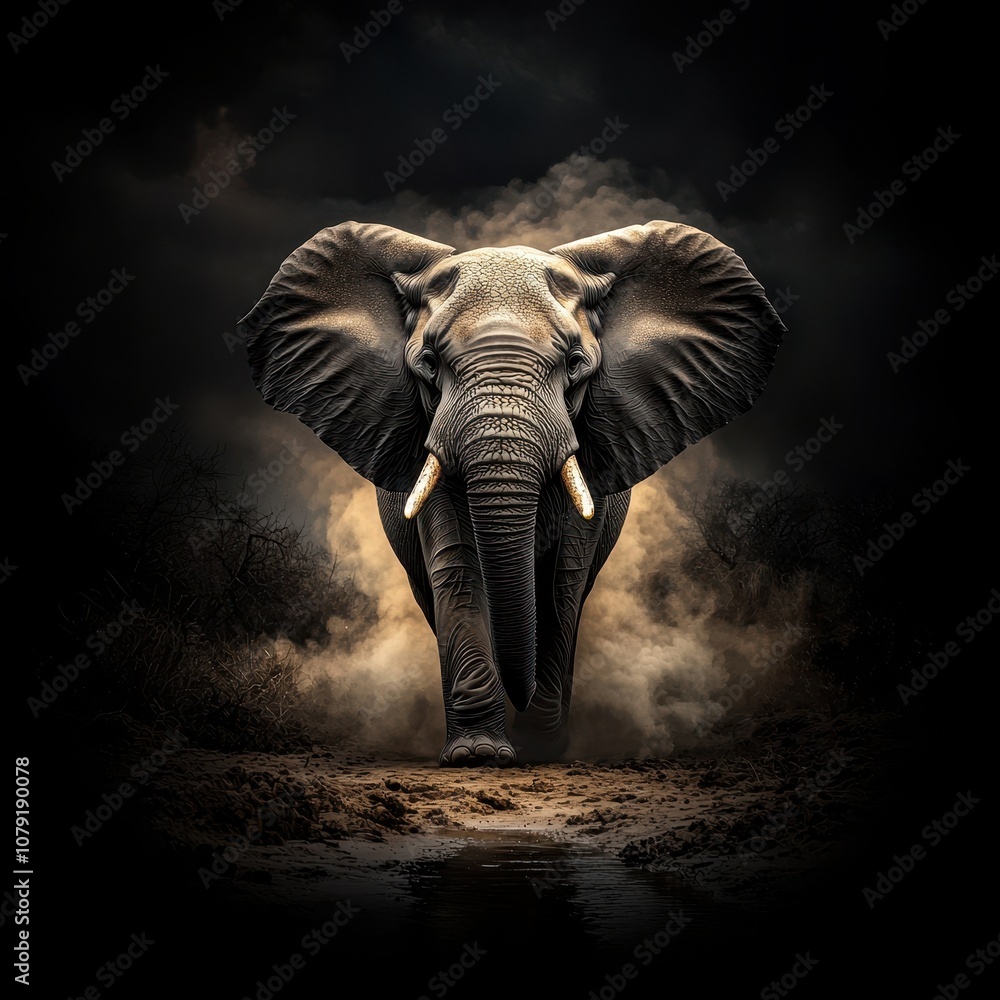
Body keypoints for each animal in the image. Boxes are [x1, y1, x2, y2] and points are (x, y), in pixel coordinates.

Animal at [242, 220, 785, 766]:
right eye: (429, 364)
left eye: (575, 363)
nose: (519, 703)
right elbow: (457, 566)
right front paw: (478, 754)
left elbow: (564, 579)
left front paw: (541, 749)